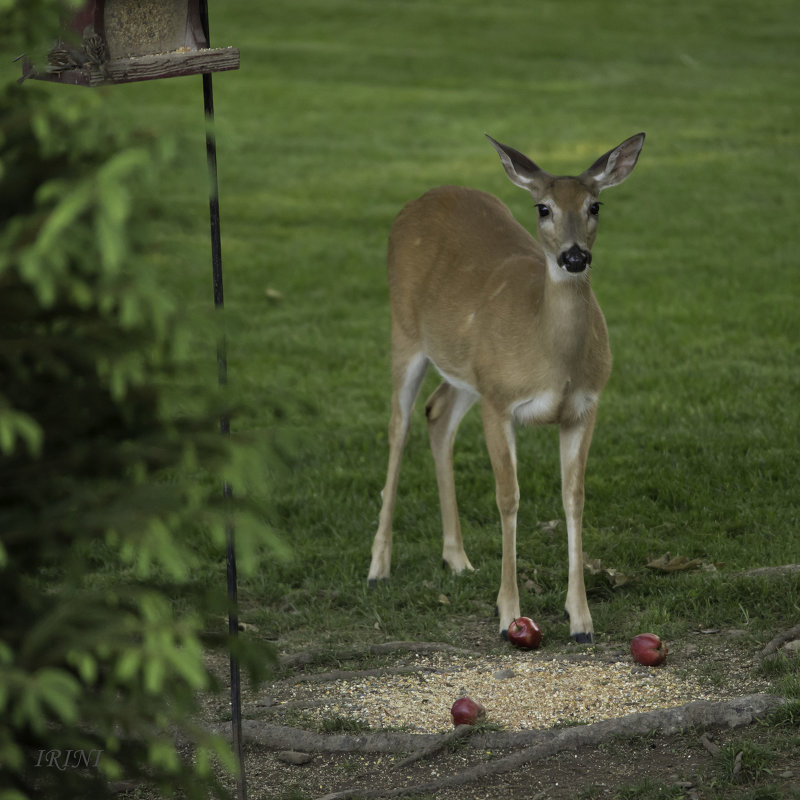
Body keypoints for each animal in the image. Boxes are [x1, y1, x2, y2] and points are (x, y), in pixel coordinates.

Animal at [368, 131, 644, 644]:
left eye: (595, 205)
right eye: (543, 208)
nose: (574, 257)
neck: (552, 359)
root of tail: (421, 199)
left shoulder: (584, 406)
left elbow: (574, 498)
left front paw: (581, 620)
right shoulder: (499, 403)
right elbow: (508, 497)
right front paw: (507, 614)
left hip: (468, 368)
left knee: (437, 413)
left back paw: (457, 558)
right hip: (405, 332)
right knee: (398, 427)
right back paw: (378, 567)